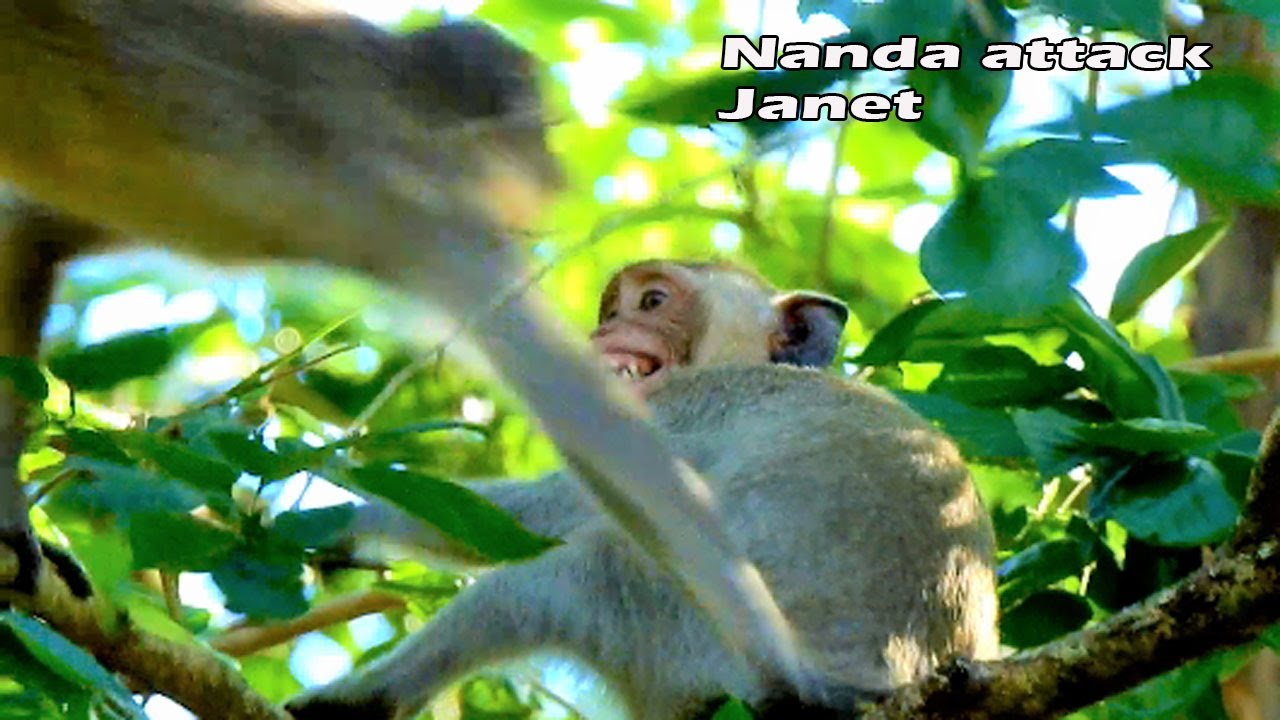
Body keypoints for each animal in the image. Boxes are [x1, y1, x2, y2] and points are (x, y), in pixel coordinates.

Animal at [0, 2, 812, 708]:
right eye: (542, 133)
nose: (558, 175)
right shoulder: (440, 223)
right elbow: (616, 458)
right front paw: (790, 675)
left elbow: (34, 236)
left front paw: (9, 525)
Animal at [285, 260, 1000, 720]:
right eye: (610, 309)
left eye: (652, 302)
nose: (600, 333)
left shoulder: (682, 412)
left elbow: (546, 514)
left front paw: (353, 513)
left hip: (701, 645)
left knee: (569, 574)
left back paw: (358, 703)